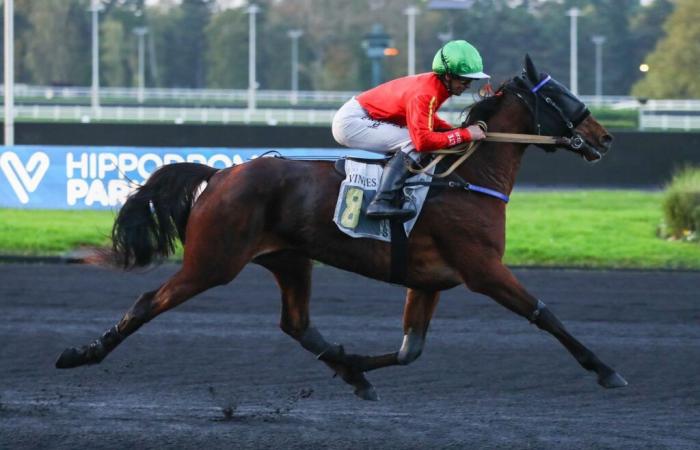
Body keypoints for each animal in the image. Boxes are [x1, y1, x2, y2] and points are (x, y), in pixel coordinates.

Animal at [54, 57, 628, 400]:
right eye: (560, 96)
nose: (605, 137)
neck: (468, 179)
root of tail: (220, 174)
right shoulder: (483, 269)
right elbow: (544, 314)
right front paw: (606, 369)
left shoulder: (429, 281)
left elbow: (410, 350)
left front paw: (355, 366)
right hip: (213, 261)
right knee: (149, 301)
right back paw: (80, 353)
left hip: (289, 258)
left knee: (296, 324)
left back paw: (349, 371)